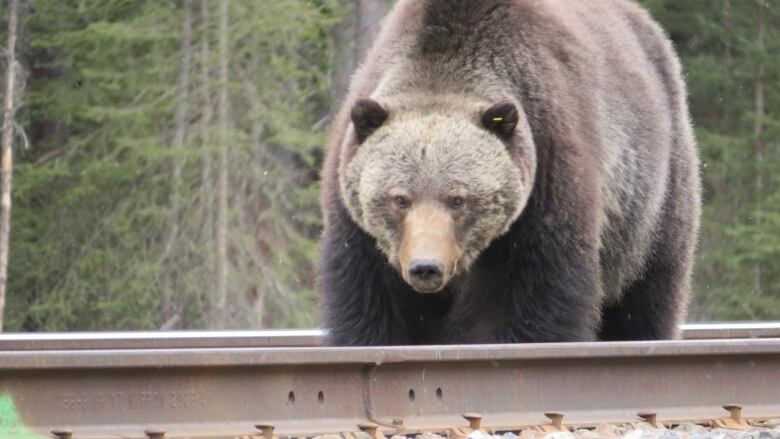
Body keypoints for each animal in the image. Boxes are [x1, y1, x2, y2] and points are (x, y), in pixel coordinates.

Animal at [316, 0, 700, 346]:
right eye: (399, 199)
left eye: (458, 199)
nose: (426, 267)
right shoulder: (358, 220)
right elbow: (371, 301)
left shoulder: (546, 173)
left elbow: (529, 295)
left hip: (652, 197)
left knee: (646, 292)